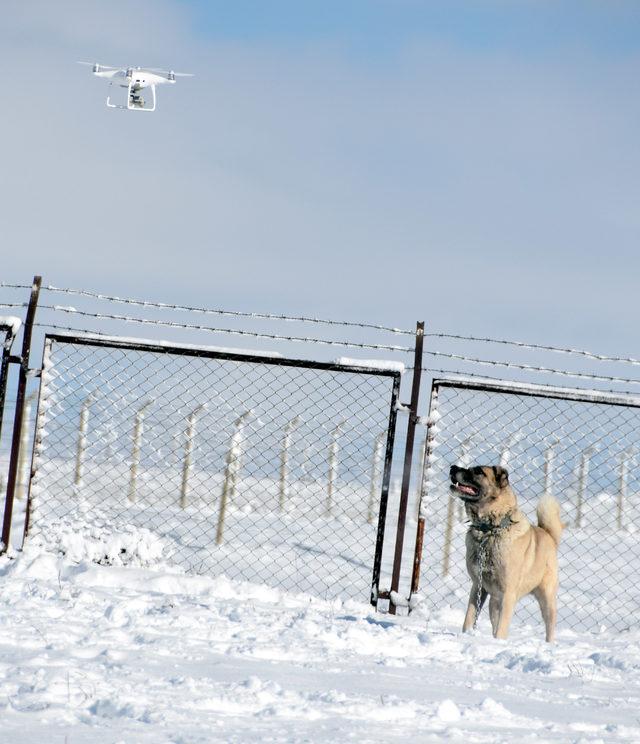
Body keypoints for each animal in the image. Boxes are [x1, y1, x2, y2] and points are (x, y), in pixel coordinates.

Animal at [450, 462, 560, 644]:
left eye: (478, 471)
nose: (452, 467)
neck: (490, 530)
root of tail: (548, 534)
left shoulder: (508, 594)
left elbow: (502, 628)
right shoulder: (478, 586)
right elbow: (469, 618)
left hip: (547, 599)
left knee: (550, 626)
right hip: (494, 602)